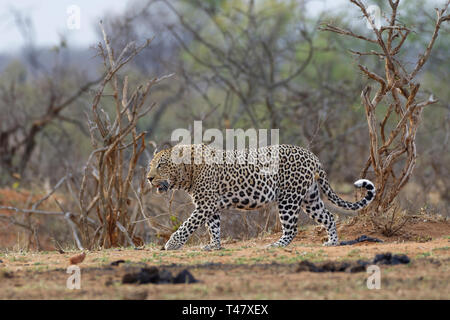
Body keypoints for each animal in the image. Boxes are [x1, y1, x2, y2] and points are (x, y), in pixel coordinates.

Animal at [146, 144, 374, 251]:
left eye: (161, 165)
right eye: (150, 166)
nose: (149, 178)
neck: (188, 171)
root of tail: (312, 155)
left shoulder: (206, 204)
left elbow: (187, 225)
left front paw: (172, 244)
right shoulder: (210, 206)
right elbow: (214, 227)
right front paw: (214, 246)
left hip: (288, 199)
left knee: (292, 229)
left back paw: (276, 245)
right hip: (310, 198)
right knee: (328, 216)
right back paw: (333, 242)